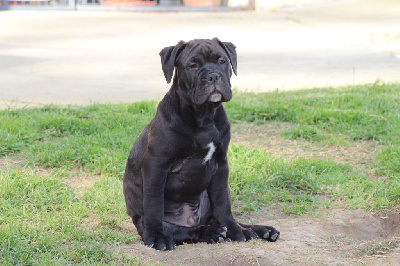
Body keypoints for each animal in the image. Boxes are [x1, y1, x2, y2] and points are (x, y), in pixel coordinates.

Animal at [123, 38, 280, 251]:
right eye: (193, 65)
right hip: (150, 219)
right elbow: (154, 203)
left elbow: (223, 204)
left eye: (222, 61)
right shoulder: (156, 164)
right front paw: (157, 237)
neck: (203, 115)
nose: (213, 76)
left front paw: (236, 230)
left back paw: (257, 230)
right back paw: (210, 232)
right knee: (182, 231)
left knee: (216, 217)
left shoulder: (221, 164)